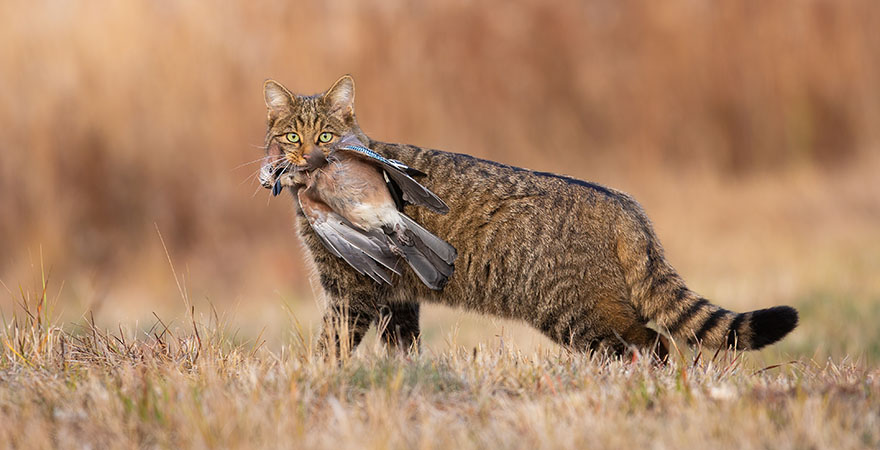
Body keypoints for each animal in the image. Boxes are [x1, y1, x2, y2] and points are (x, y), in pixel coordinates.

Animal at [260, 76, 796, 358]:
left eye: (326, 137)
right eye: (291, 136)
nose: (307, 157)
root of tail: (624, 203)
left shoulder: (352, 292)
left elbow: (331, 345)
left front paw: (318, 379)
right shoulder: (398, 298)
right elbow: (402, 350)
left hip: (578, 314)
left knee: (653, 343)